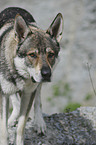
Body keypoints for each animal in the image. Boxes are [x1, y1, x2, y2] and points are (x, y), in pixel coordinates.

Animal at [0, 7, 63, 145]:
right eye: (32, 55)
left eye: (51, 54)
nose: (47, 74)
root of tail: (14, 7)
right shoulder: (2, 94)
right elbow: (3, 130)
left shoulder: (29, 93)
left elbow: (21, 127)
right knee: (16, 103)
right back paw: (11, 120)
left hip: (37, 86)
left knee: (38, 100)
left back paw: (39, 123)